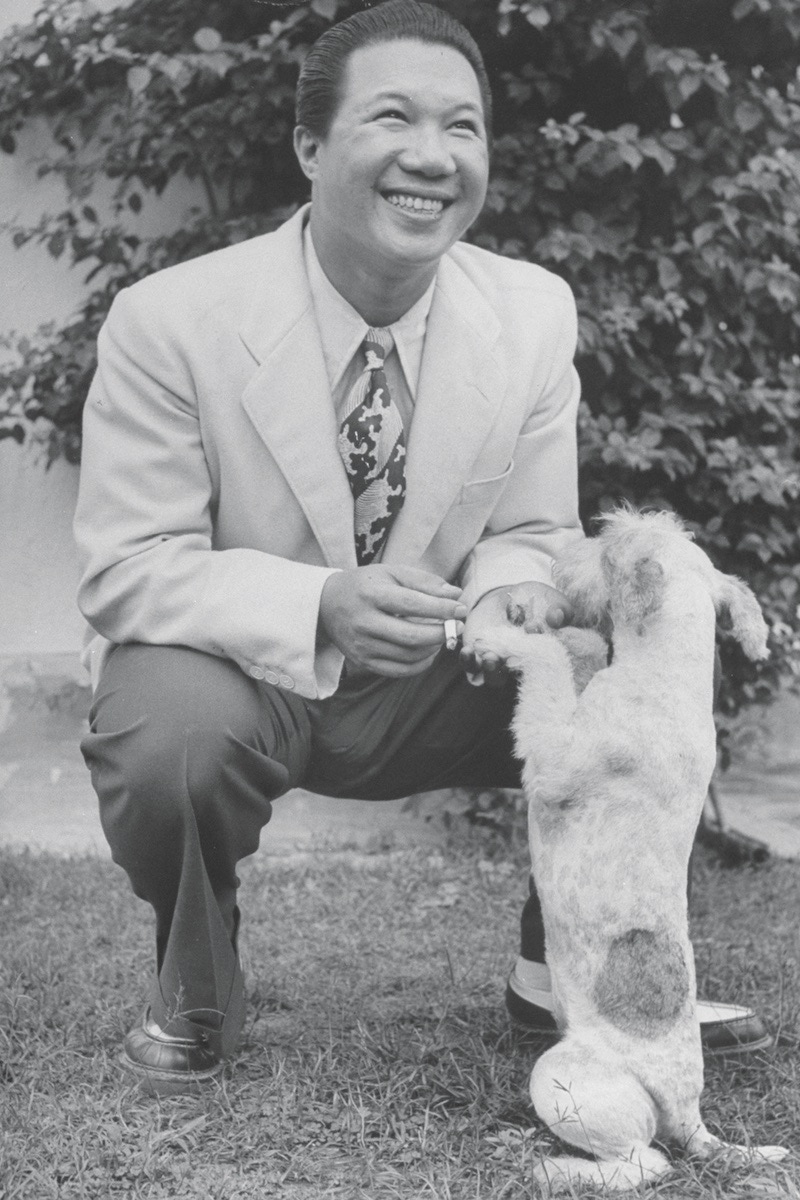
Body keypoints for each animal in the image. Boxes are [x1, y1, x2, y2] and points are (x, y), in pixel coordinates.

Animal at [474, 508, 786, 1190]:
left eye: (611, 544)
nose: (563, 560)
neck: (666, 678)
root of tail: (691, 1114)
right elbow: (584, 651)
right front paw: (568, 634)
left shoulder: (551, 760)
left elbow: (543, 660)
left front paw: (504, 634)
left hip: (566, 1079)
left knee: (644, 1163)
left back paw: (549, 1167)